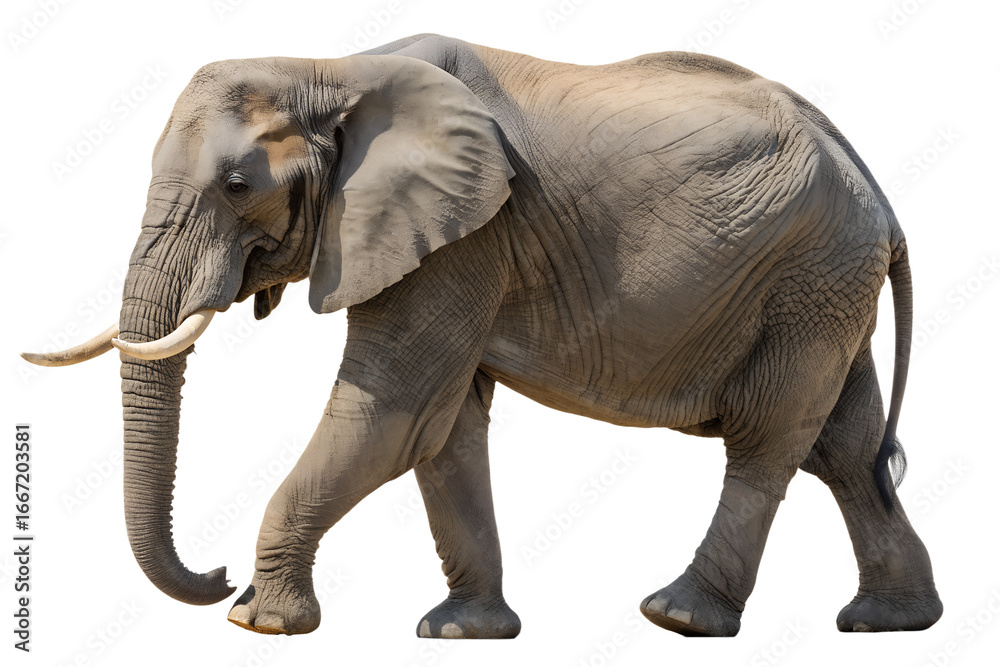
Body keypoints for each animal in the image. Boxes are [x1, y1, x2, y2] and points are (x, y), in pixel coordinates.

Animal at [23, 33, 943, 638]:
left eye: (238, 185)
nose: (213, 576)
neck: (331, 69)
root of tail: (877, 188)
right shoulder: (451, 241)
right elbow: (441, 429)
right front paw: (462, 632)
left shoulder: (464, 236)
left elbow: (388, 410)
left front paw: (261, 622)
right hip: (826, 284)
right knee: (845, 446)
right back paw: (889, 621)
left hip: (810, 270)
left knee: (768, 438)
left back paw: (679, 616)